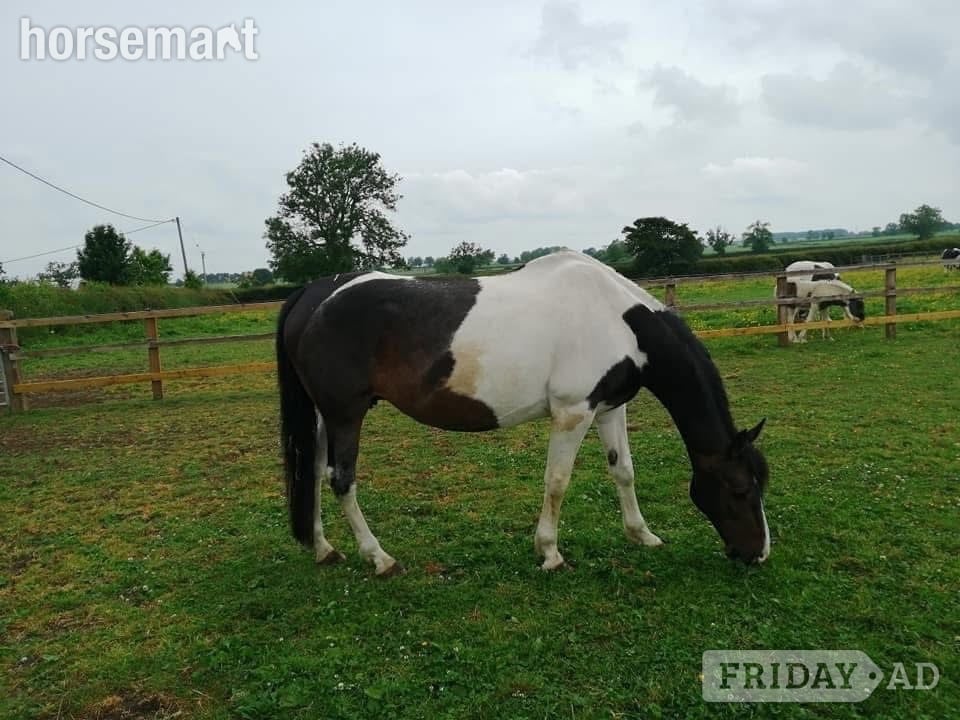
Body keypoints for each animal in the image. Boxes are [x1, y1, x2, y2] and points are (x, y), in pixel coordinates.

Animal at [276, 250, 770, 575]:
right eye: (741, 489)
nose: (759, 553)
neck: (617, 320)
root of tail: (315, 293)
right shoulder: (573, 413)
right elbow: (557, 481)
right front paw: (550, 552)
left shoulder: (610, 409)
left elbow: (623, 472)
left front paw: (642, 535)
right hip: (345, 413)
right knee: (341, 480)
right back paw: (379, 558)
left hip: (324, 415)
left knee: (313, 472)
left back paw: (324, 548)